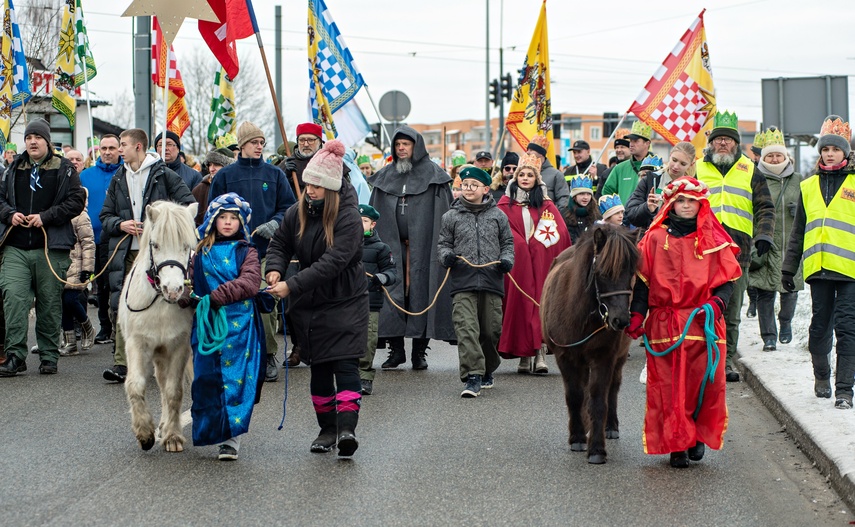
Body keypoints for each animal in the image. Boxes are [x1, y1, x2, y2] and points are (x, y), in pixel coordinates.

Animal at [118, 200, 199, 452]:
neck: (160, 303)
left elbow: (174, 391)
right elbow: (135, 384)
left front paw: (173, 436)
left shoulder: (179, 346)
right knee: (161, 382)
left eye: (186, 245)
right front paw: (145, 434)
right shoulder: (137, 343)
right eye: (155, 244)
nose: (172, 290)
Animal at [544, 225, 640, 464]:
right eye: (602, 272)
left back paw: (611, 426)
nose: (621, 320)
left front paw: (596, 449)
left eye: (631, 273)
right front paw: (578, 437)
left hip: (618, 357)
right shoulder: (565, 357)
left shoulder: (603, 357)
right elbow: (575, 396)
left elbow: (598, 398)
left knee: (613, 388)